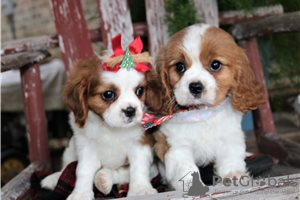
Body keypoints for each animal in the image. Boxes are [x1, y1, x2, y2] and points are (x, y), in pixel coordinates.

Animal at [154, 24, 264, 190]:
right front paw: (190, 184)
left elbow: (230, 157)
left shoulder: (230, 136)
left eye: (215, 65)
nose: (195, 87)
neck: (202, 113)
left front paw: (233, 175)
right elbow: (185, 167)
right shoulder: (175, 145)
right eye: (180, 67)